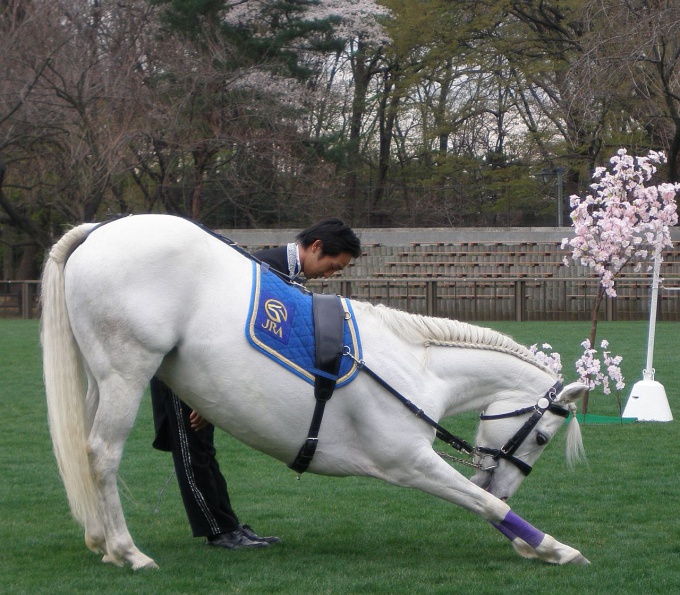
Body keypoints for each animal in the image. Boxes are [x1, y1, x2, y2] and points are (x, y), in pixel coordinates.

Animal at [39, 215, 588, 572]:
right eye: (542, 438)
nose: (506, 483)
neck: (417, 368)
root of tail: (102, 229)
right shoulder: (408, 461)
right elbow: (484, 504)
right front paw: (554, 548)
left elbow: (483, 502)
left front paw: (528, 543)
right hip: (126, 374)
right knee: (102, 454)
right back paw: (127, 551)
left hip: (101, 380)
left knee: (86, 455)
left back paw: (102, 540)